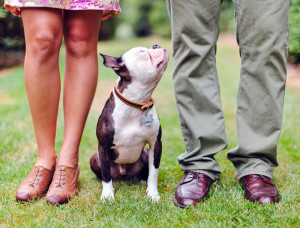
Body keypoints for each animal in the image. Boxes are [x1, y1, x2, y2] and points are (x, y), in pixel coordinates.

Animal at [89, 44, 169, 201]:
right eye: (142, 51)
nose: (156, 45)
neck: (137, 103)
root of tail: (123, 172)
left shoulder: (155, 144)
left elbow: (154, 172)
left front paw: (153, 194)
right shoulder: (103, 146)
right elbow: (106, 174)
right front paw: (107, 194)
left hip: (144, 153)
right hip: (94, 158)